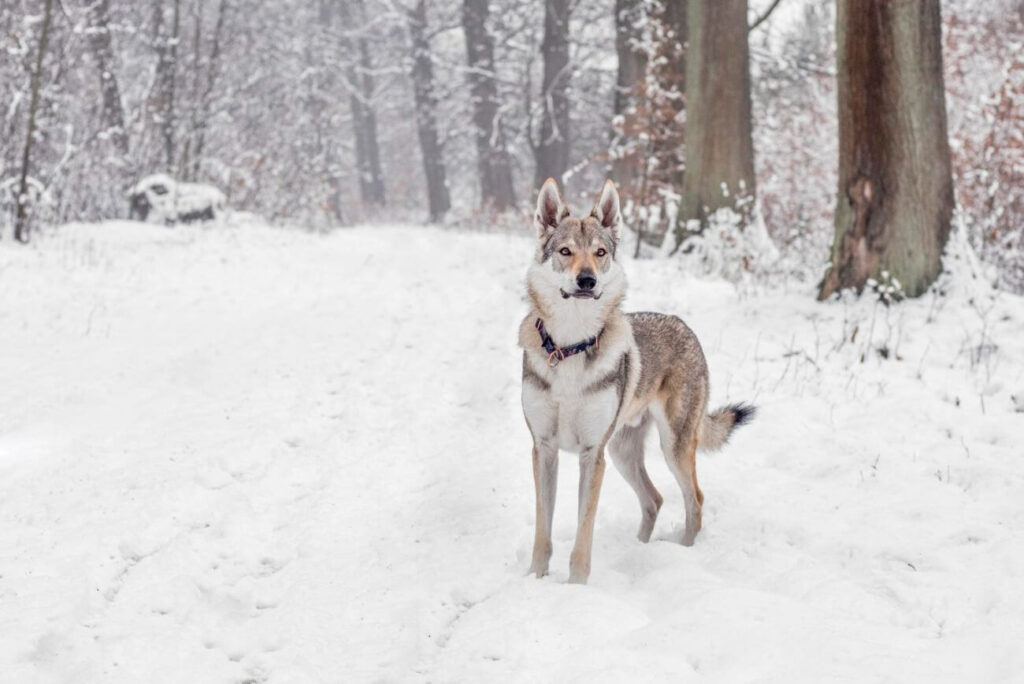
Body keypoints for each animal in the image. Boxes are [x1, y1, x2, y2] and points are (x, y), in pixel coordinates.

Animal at [520, 178, 753, 581]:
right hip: (622, 452)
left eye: (600, 252)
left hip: (671, 446)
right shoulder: (544, 449)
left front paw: (576, 586)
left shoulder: (592, 455)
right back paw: (639, 549)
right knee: (654, 499)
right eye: (565, 251)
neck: (571, 345)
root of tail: (684, 325)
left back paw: (684, 553)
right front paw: (535, 581)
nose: (587, 279)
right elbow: (542, 532)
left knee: (695, 500)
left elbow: (583, 534)